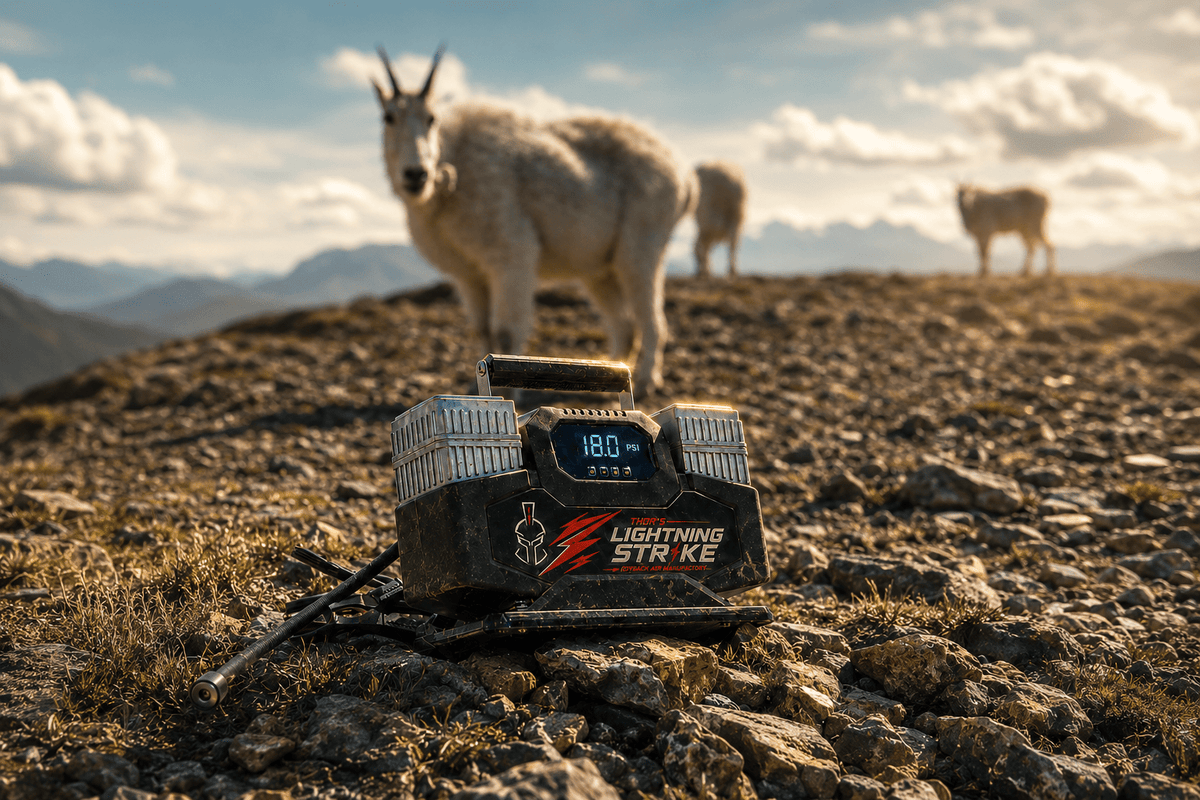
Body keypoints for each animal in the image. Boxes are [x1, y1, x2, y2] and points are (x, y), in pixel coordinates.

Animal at [373, 46, 695, 394]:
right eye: (388, 117)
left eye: (432, 118)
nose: (416, 174)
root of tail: (685, 177)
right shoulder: (468, 273)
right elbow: (482, 329)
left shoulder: (511, 253)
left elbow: (504, 331)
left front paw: (509, 389)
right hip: (599, 268)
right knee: (624, 324)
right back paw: (607, 373)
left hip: (643, 243)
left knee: (652, 320)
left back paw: (647, 378)